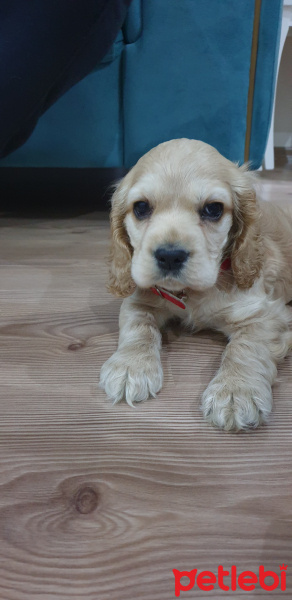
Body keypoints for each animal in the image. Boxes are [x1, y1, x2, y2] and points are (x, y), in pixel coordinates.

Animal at [100, 139, 292, 432]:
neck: (192, 294)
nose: (169, 256)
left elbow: (245, 348)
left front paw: (236, 392)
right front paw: (130, 367)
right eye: (141, 207)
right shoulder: (139, 299)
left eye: (213, 209)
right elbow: (139, 327)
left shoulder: (267, 314)